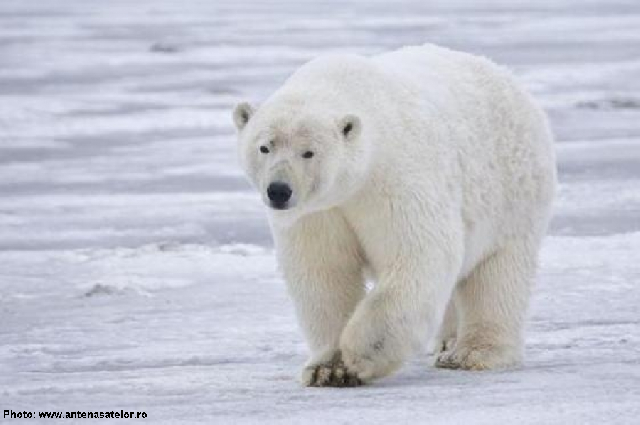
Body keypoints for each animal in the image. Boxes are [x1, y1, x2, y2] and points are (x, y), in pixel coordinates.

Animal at [231, 44, 556, 386]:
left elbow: (419, 254)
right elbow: (324, 272)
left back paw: (471, 353)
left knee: (497, 274)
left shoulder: (395, 178)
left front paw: (361, 355)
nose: (279, 191)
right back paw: (447, 341)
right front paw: (327, 369)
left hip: (512, 194)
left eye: (309, 152)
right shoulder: (318, 212)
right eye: (264, 146)